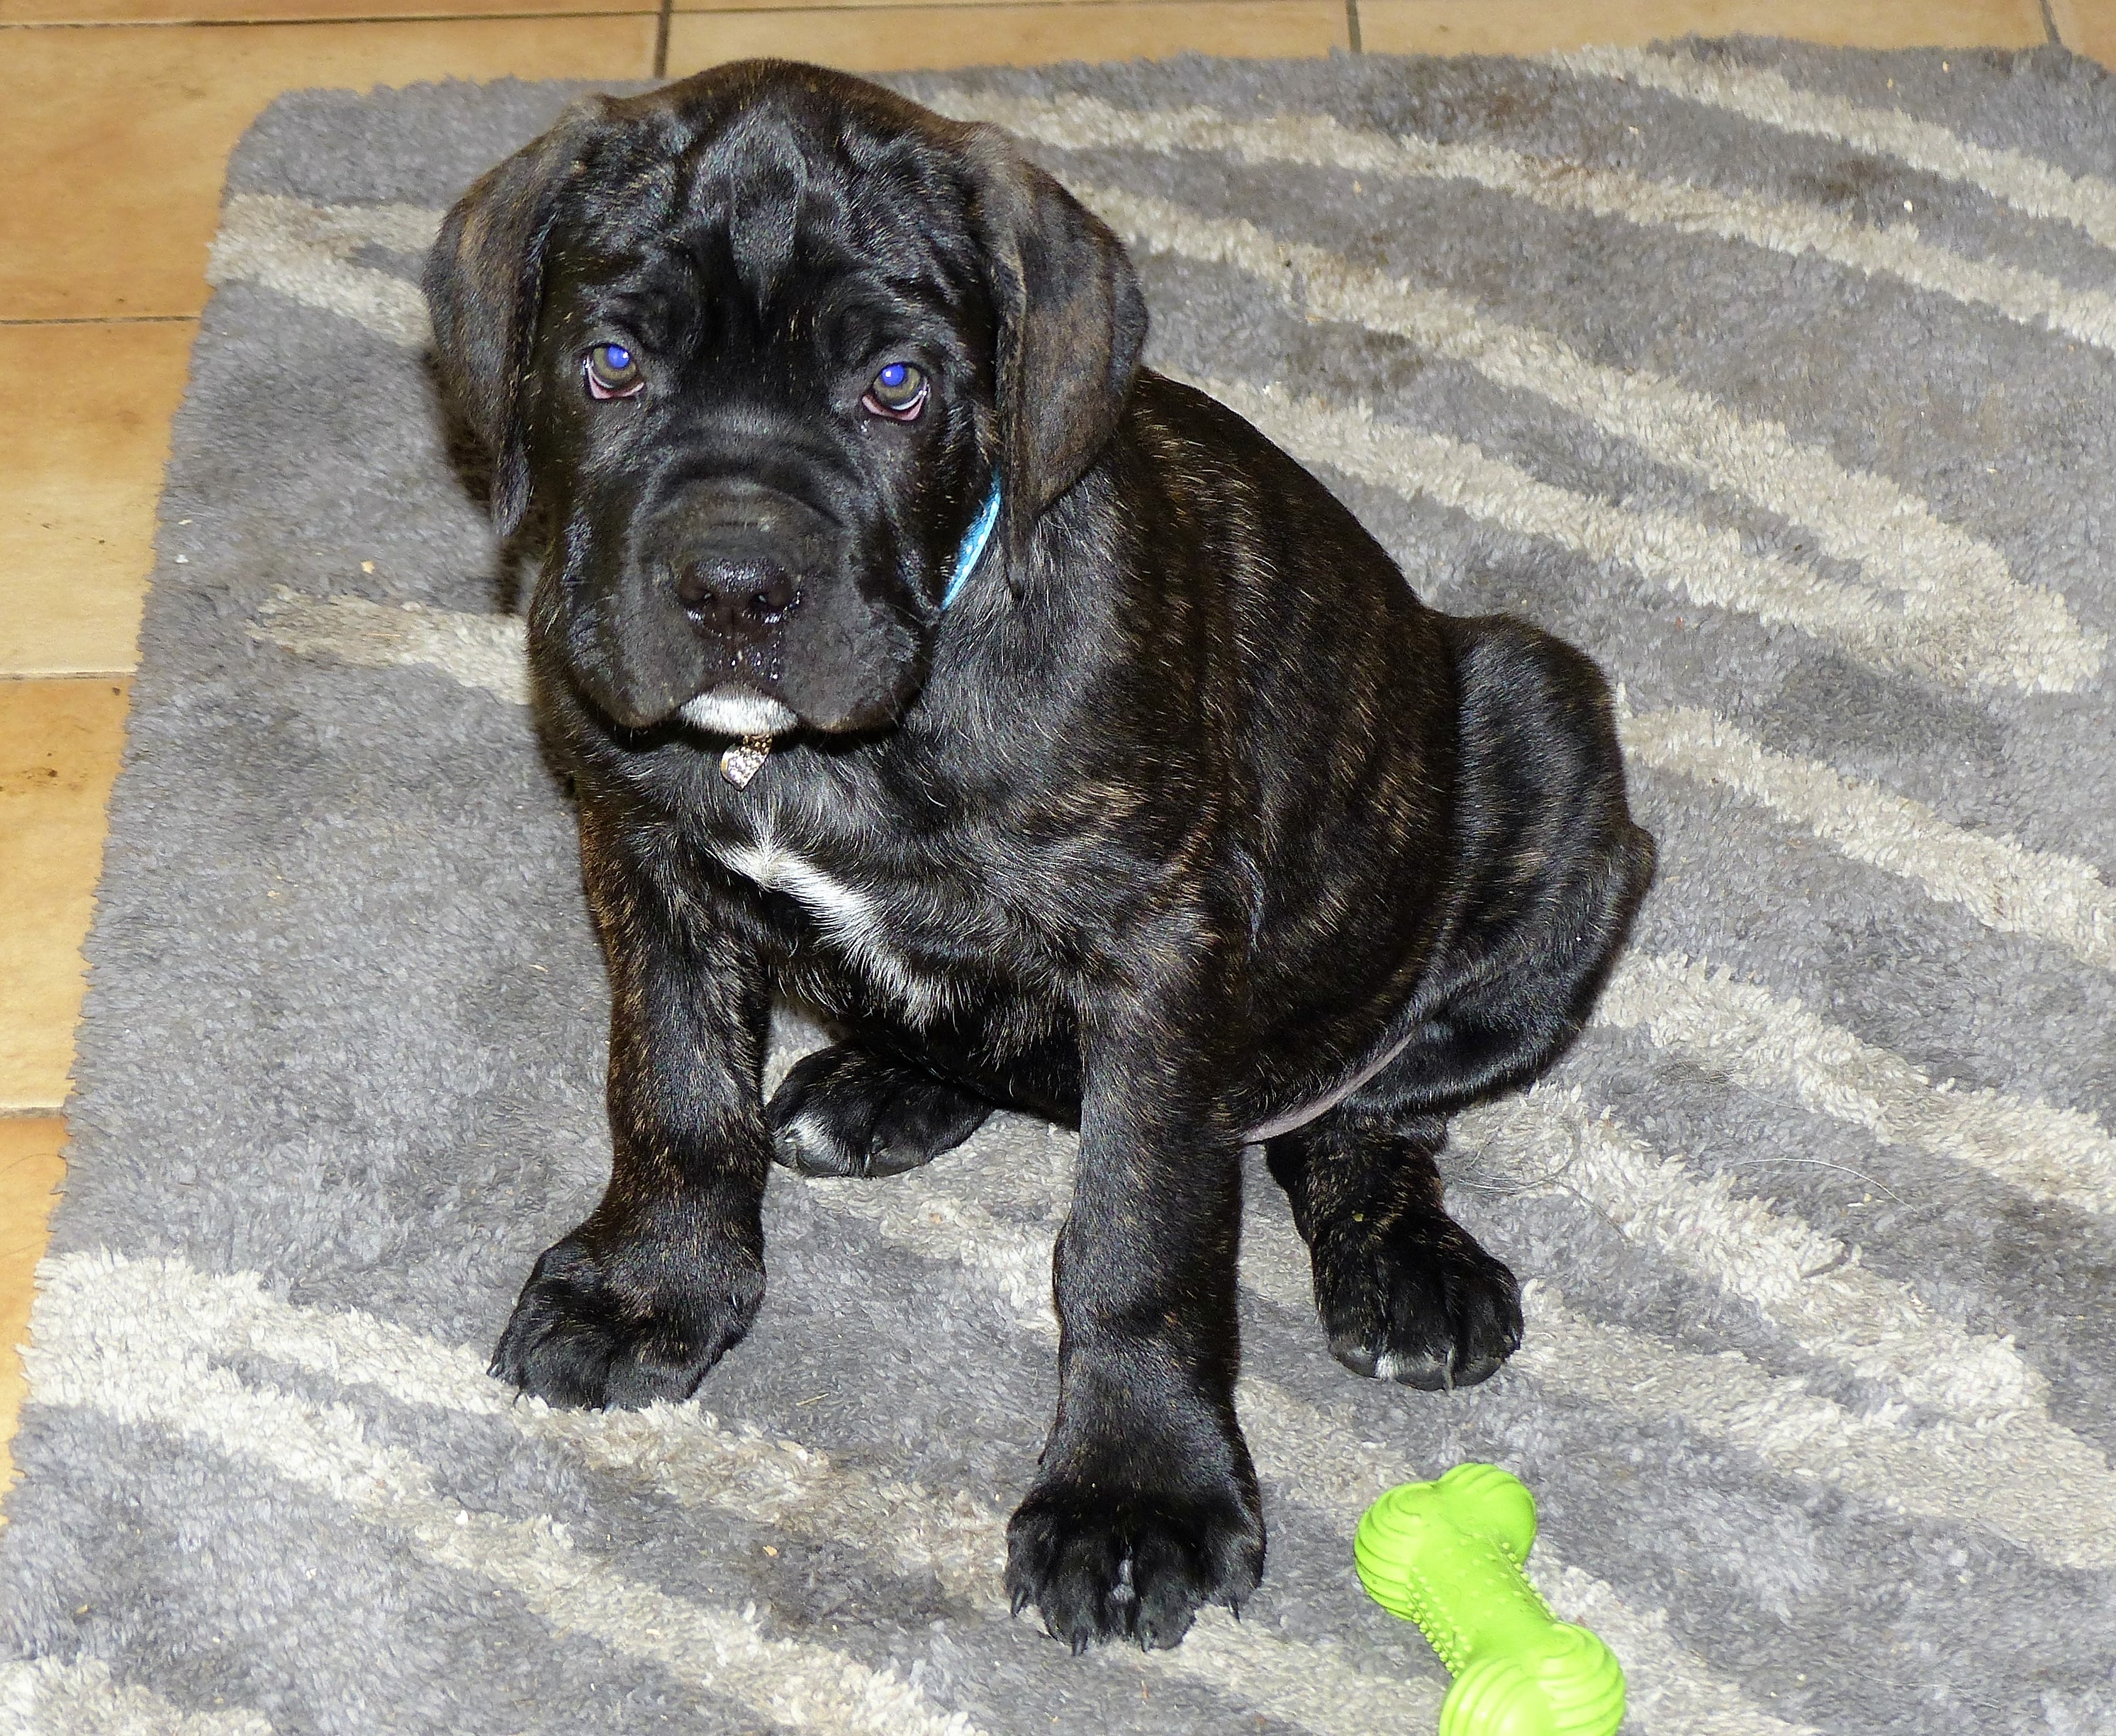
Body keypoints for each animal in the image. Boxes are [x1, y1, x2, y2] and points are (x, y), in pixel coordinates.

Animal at [425, 59, 1655, 1653]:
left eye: (897, 386)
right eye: (613, 362)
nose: (737, 588)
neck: (823, 750)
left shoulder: (1160, 947)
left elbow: (1140, 1232)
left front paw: (1134, 1492)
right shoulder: (643, 855)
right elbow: (673, 1090)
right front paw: (654, 1286)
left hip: (1538, 722)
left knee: (1368, 1106)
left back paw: (1403, 1267)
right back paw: (879, 1086)